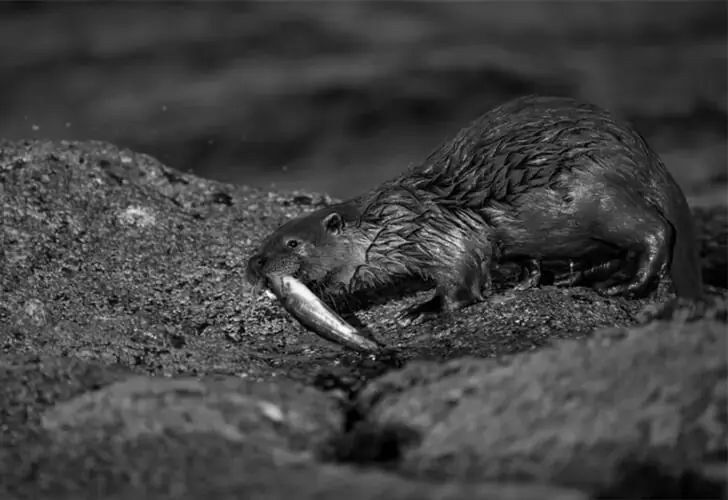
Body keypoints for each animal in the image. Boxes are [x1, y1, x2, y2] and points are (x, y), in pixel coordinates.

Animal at [247, 95, 705, 325]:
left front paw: (422, 309)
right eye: (265, 240)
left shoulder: (442, 233)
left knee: (655, 231)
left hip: (596, 194)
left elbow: (462, 273)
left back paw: (627, 285)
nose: (255, 265)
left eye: (291, 243)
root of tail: (646, 155)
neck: (395, 222)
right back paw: (568, 277)